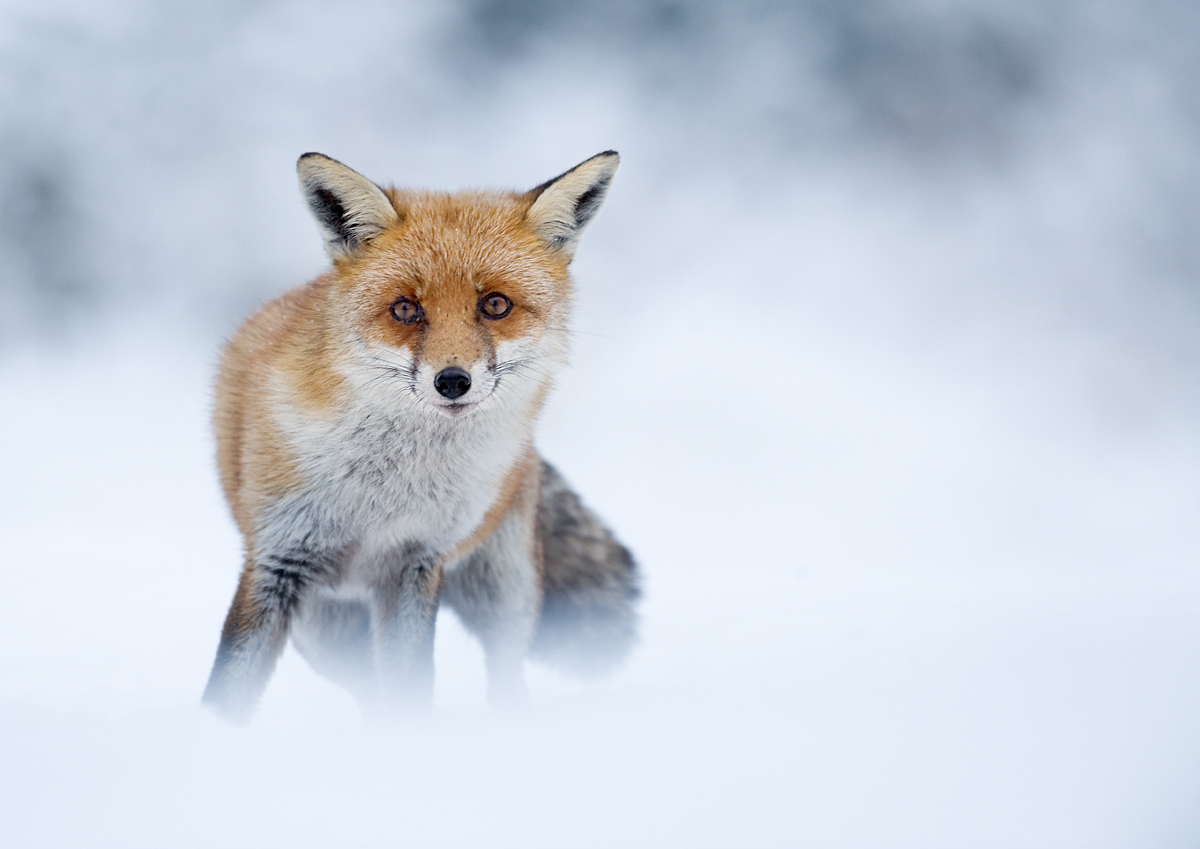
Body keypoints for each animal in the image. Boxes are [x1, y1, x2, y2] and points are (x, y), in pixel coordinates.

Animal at [201, 151, 639, 722]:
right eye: (406, 309)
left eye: (495, 305)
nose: (452, 381)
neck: (385, 491)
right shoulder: (276, 559)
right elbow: (227, 690)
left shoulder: (416, 562)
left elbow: (411, 686)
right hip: (324, 633)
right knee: (368, 691)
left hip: (507, 589)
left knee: (505, 669)